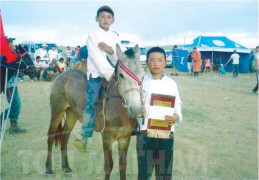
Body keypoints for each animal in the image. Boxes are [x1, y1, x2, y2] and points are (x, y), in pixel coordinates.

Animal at [46, 44, 146, 179]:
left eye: (143, 75)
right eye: (121, 75)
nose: (135, 108)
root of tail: (63, 74)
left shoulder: (125, 138)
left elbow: (122, 165)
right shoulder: (107, 137)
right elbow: (109, 165)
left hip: (72, 114)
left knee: (65, 136)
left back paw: (66, 168)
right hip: (57, 111)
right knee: (51, 137)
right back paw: (48, 169)